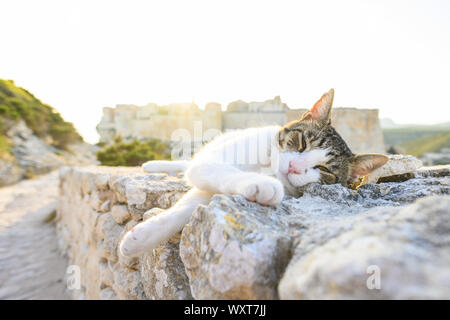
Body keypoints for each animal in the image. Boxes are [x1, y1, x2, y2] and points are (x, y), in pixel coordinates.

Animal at [118, 89, 386, 256]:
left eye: (322, 169)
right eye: (302, 143)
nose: (294, 166)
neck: (268, 166)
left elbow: (189, 205)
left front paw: (142, 236)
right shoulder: (211, 162)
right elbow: (213, 172)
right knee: (189, 162)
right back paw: (153, 164)